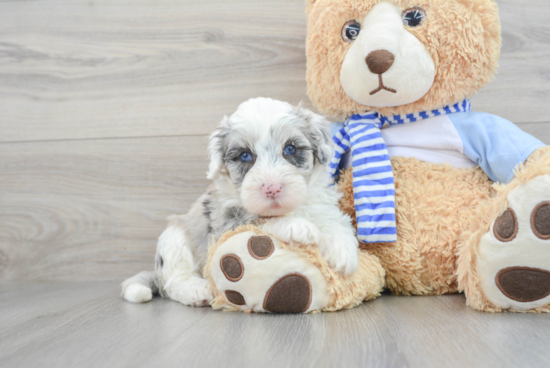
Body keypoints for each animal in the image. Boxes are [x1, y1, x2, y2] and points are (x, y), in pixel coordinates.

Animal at [122, 97, 360, 304]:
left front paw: (343, 251)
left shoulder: (320, 203)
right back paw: (197, 290)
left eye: (290, 149)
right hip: (174, 239)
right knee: (173, 280)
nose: (272, 188)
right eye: (245, 155)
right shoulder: (224, 225)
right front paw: (296, 226)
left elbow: (335, 220)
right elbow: (259, 221)